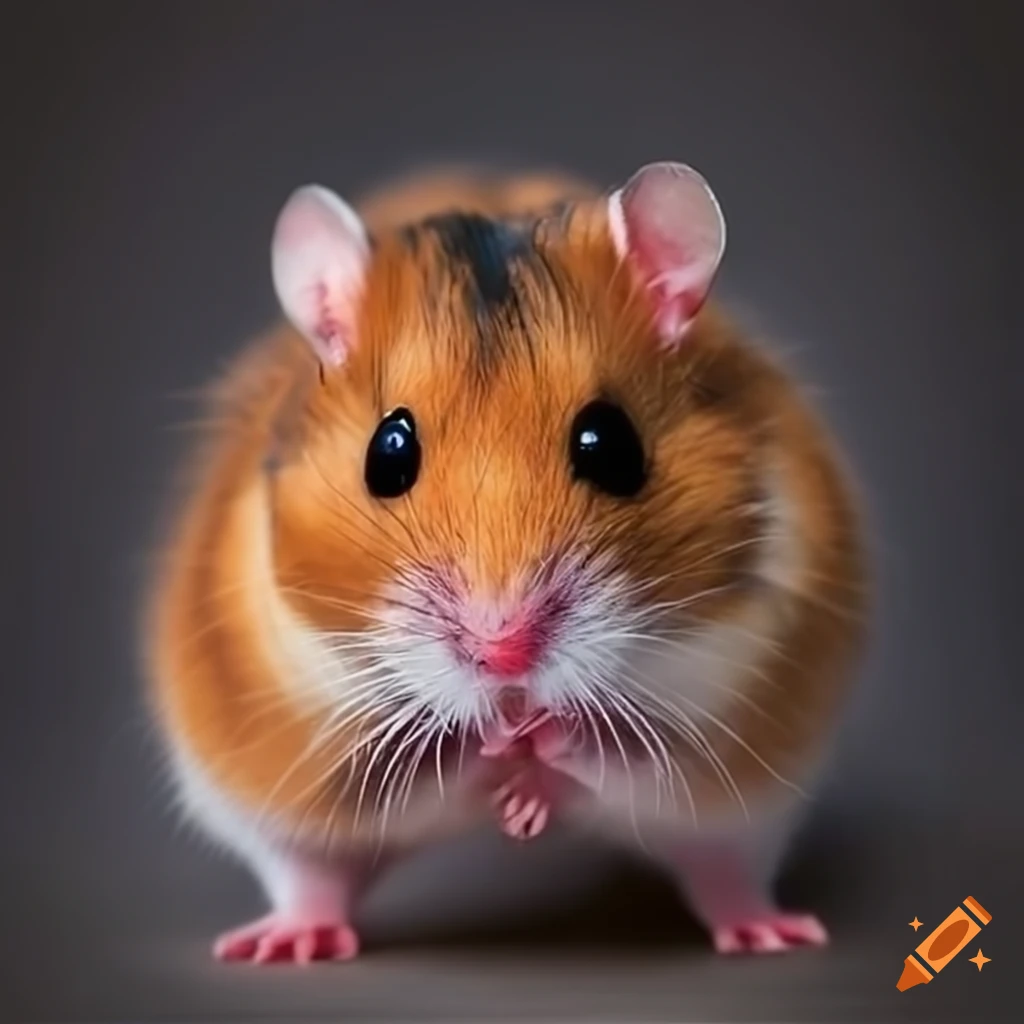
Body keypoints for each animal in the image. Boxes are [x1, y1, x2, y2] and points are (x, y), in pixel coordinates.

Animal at [146, 160, 867, 964]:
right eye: (387, 452)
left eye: (611, 444)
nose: (505, 657)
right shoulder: (307, 727)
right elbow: (410, 770)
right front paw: (498, 758)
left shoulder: (726, 712)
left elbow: (634, 758)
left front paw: (531, 774)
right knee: (310, 875)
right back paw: (289, 945)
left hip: (745, 818)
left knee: (722, 869)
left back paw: (769, 933)